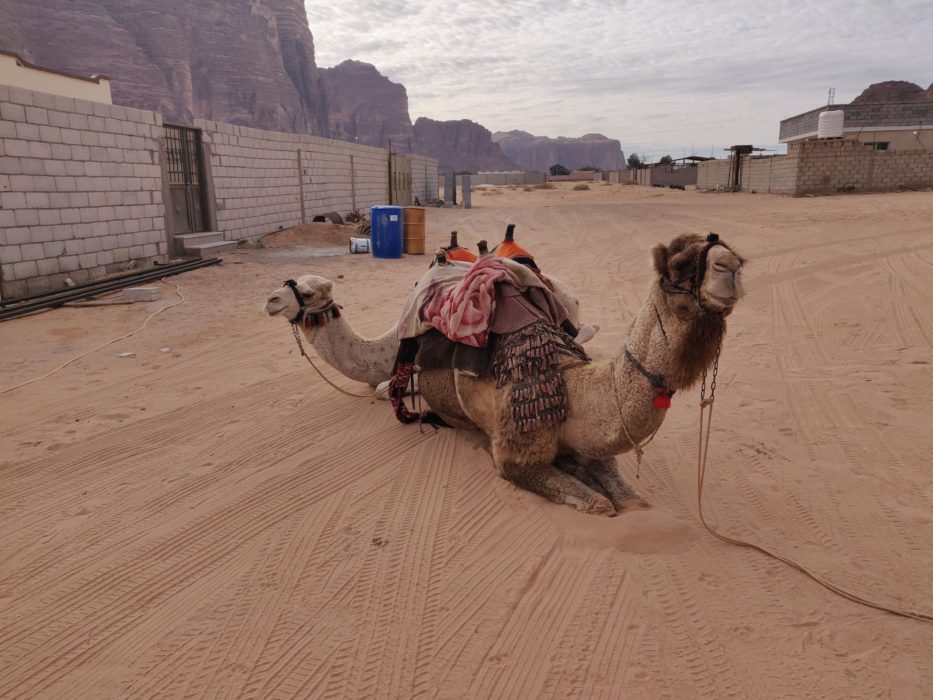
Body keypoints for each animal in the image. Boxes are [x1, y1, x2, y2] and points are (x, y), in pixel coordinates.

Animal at [418, 232, 748, 516]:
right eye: (679, 264)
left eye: (736, 256)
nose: (730, 266)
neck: (568, 384)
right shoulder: (514, 458)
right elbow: (599, 505)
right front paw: (583, 480)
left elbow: (633, 500)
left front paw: (586, 473)